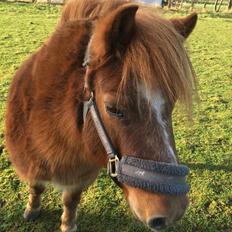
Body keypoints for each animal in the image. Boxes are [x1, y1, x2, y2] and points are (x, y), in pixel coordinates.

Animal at [5, 0, 198, 231]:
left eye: (172, 103)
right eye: (112, 108)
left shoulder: (80, 175)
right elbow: (36, 186)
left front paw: (68, 224)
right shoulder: (31, 161)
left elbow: (71, 200)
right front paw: (32, 209)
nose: (172, 211)